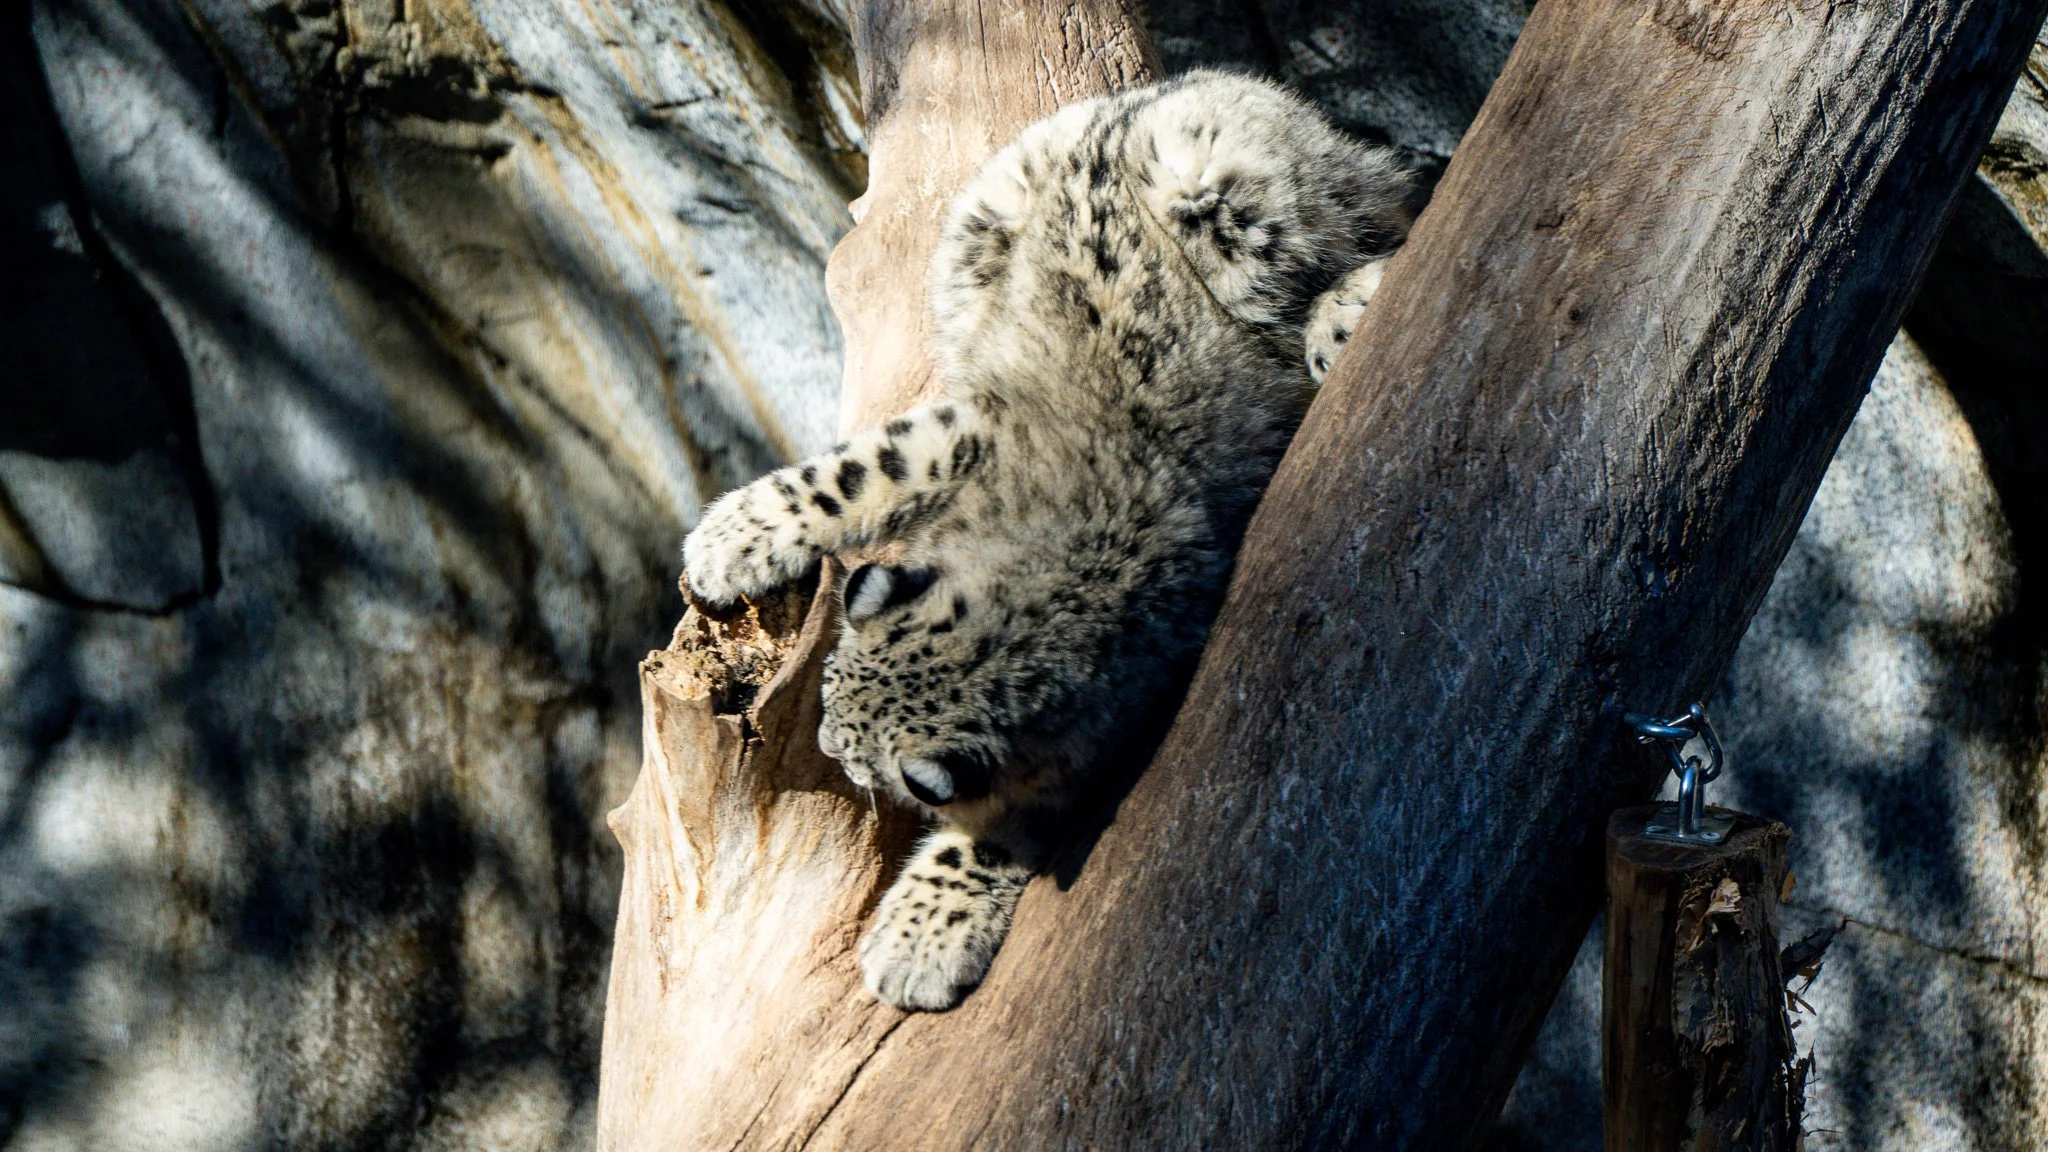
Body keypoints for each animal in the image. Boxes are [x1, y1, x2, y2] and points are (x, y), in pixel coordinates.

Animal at [683, 70, 1411, 1011]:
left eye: (865, 762)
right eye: (836, 691)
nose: (833, 750)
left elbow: (1006, 823)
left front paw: (920, 934)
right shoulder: (961, 435)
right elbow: (852, 474)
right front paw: (727, 541)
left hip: (1243, 191)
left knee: (1371, 224)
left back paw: (1342, 313)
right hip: (998, 214)